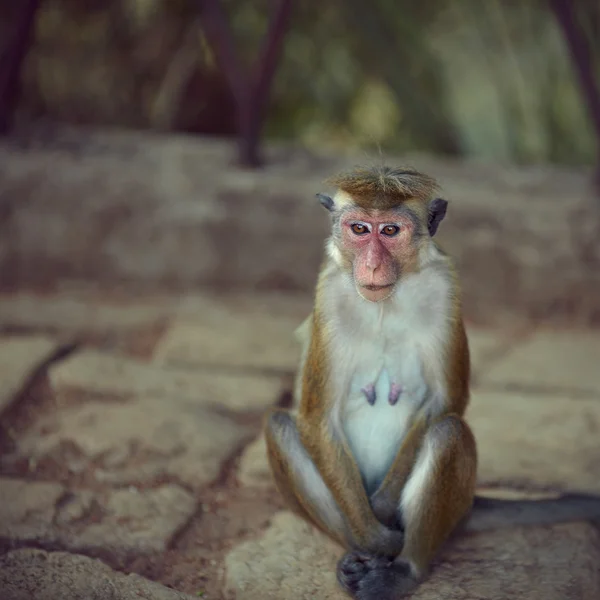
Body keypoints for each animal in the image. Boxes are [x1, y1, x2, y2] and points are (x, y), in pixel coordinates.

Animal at [264, 164, 600, 600]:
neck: (385, 303)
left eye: (390, 231)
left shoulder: (445, 287)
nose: (372, 265)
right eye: (359, 229)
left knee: (447, 432)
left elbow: (446, 399)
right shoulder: (329, 293)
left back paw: (403, 570)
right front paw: (375, 537)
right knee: (280, 425)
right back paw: (361, 553)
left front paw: (385, 513)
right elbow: (317, 418)